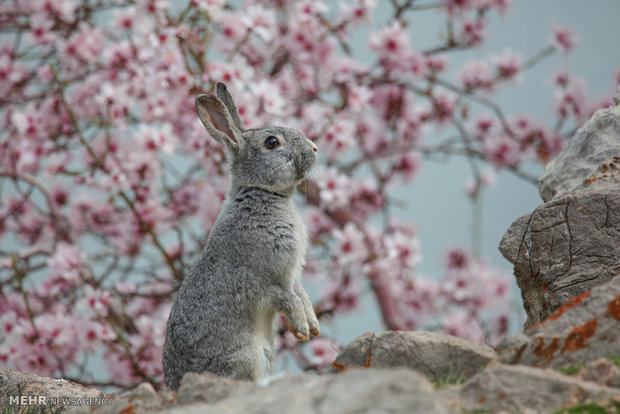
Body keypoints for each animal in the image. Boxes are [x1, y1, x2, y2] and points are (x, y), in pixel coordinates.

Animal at [162, 82, 320, 390]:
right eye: (272, 143)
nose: (315, 148)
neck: (261, 193)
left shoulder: (294, 277)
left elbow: (302, 295)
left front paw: (314, 327)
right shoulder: (267, 281)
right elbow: (289, 300)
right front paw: (302, 330)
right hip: (248, 357)